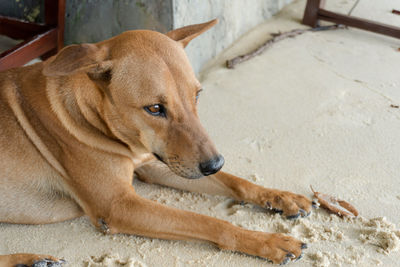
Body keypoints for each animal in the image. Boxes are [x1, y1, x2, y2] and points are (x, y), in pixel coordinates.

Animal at [0, 19, 312, 266]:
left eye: (197, 94)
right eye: (154, 109)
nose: (214, 164)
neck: (91, 114)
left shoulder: (159, 163)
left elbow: (237, 182)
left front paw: (281, 197)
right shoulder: (118, 206)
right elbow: (206, 221)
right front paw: (268, 241)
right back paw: (29, 260)